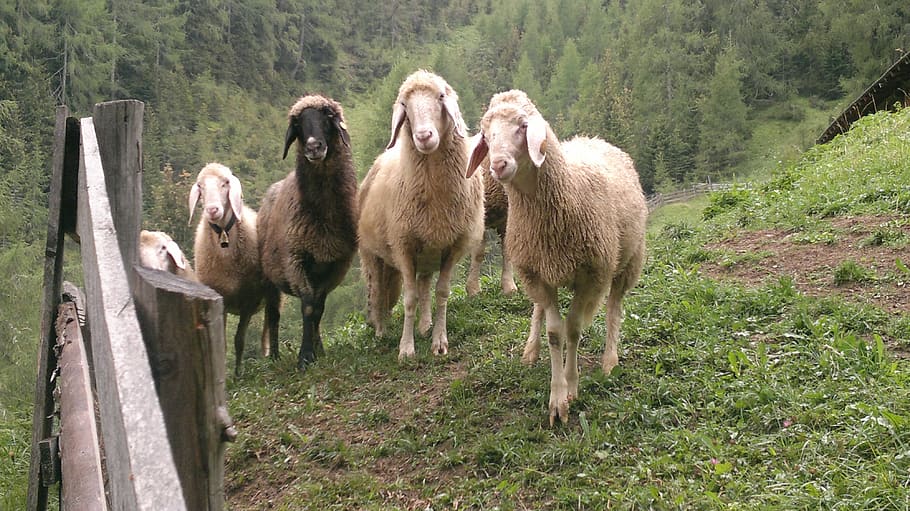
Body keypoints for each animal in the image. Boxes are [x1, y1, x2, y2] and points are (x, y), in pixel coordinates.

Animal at [189, 162, 271, 376]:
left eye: (225, 183)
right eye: (200, 186)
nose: (212, 209)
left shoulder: (249, 301)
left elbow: (239, 340)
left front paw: (238, 374)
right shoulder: (220, 300)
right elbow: (223, 345)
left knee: (268, 326)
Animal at [257, 94, 358, 372]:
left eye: (327, 117)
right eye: (298, 125)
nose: (314, 147)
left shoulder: (336, 264)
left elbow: (319, 308)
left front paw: (317, 351)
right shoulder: (295, 259)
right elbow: (308, 308)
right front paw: (305, 356)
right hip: (269, 277)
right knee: (273, 315)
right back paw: (275, 357)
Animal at [358, 70, 484, 360]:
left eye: (440, 97)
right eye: (405, 105)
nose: (424, 136)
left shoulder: (453, 245)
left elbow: (441, 292)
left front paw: (439, 341)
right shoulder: (403, 244)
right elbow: (410, 298)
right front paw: (406, 348)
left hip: (427, 251)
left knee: (425, 284)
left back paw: (425, 326)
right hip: (372, 253)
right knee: (378, 290)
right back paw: (381, 330)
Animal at [466, 90, 647, 425]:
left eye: (523, 125)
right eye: (485, 134)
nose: (498, 164)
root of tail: (594, 138)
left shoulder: (591, 275)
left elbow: (573, 329)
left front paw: (572, 386)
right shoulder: (537, 273)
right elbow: (554, 333)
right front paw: (557, 399)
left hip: (628, 260)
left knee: (614, 307)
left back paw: (610, 359)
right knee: (539, 309)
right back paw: (531, 349)